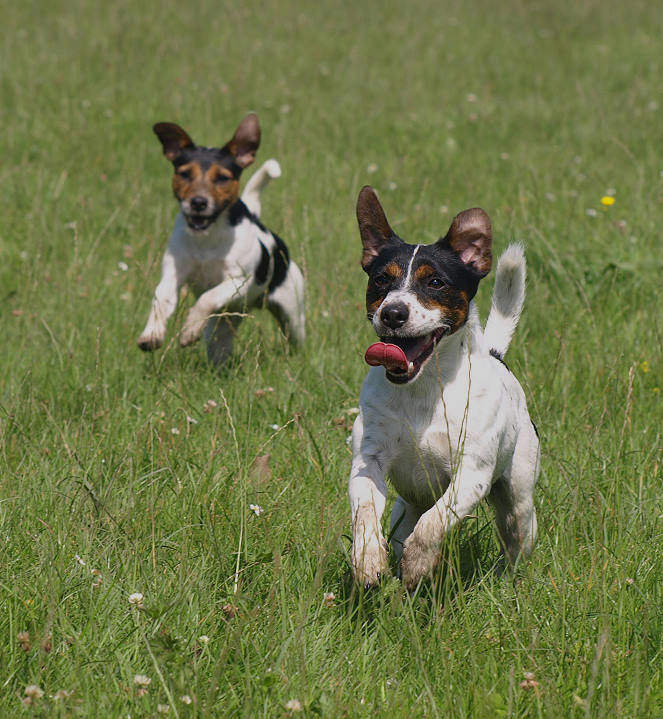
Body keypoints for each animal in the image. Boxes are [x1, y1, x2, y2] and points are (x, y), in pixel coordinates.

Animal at [140, 116, 308, 366]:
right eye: (184, 174)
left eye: (222, 178)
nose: (198, 202)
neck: (207, 237)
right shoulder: (173, 274)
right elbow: (161, 299)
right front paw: (151, 335)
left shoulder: (239, 280)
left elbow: (207, 298)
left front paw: (189, 330)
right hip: (223, 324)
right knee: (219, 343)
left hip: (292, 312)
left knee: (295, 334)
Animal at [348, 186, 540, 592]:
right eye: (381, 280)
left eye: (435, 282)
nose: (392, 313)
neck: (422, 390)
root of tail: (496, 354)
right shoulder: (368, 460)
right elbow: (366, 512)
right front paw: (368, 560)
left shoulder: (472, 473)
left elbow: (433, 524)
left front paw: (418, 564)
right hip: (405, 506)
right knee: (404, 523)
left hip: (517, 498)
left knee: (515, 536)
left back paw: (504, 580)